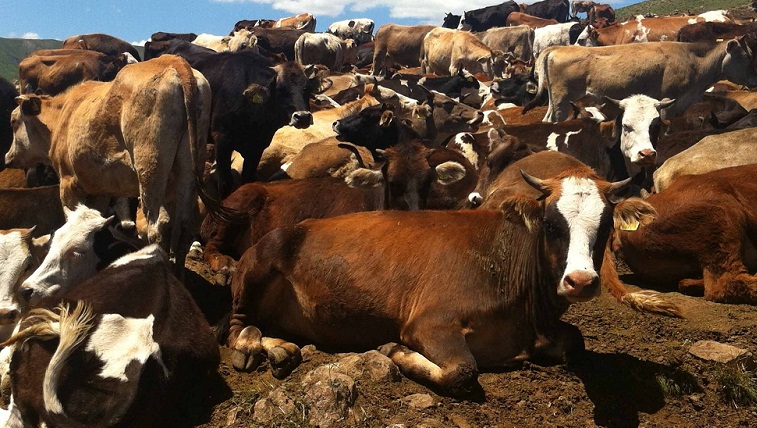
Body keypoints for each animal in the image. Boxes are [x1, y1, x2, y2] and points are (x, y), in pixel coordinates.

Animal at [5, 55, 219, 270]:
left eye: (13, 121)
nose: (7, 157)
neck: (64, 115)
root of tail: (174, 62)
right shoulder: (99, 190)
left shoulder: (68, 183)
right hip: (186, 171)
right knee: (183, 225)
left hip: (150, 171)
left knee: (158, 225)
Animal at [143, 39, 320, 196]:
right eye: (281, 89)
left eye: (307, 88)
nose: (302, 117)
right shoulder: (222, 140)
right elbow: (225, 182)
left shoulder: (257, 146)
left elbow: (248, 179)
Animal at [528, 38, 756, 122]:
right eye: (746, 56)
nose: (754, 80)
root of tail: (557, 48)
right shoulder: (668, 100)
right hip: (562, 100)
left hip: (554, 101)